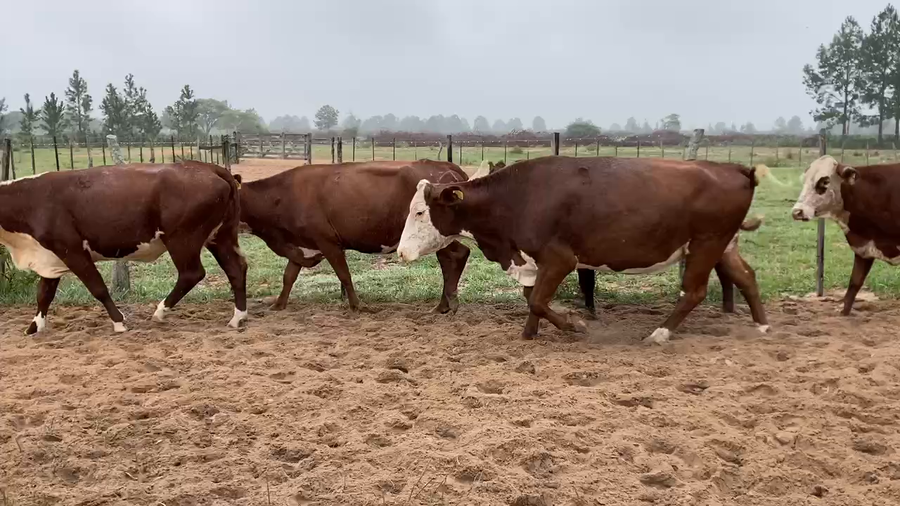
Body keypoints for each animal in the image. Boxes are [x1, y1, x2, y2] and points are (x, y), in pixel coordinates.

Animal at [0, 161, 247, 335]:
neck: (32, 199)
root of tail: (210, 167)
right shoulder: (51, 257)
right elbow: (44, 294)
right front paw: (33, 327)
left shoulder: (73, 251)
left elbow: (98, 288)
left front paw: (119, 322)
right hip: (220, 237)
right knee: (236, 268)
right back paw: (238, 317)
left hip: (182, 240)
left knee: (192, 274)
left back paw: (160, 312)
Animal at [238, 160, 470, 313]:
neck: (282, 196)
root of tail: (446, 166)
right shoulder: (302, 245)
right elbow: (289, 277)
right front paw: (278, 305)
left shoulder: (328, 242)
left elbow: (344, 275)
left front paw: (356, 305)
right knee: (450, 260)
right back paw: (443, 305)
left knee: (458, 255)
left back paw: (447, 304)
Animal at [397, 156, 770, 344]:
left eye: (420, 212)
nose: (401, 252)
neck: (516, 198)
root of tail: (735, 168)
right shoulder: (532, 261)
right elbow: (533, 298)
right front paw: (530, 333)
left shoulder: (561, 259)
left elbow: (537, 300)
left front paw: (574, 325)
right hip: (722, 245)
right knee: (746, 276)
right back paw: (762, 326)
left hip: (706, 244)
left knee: (694, 292)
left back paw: (660, 333)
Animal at [791, 155, 900, 315]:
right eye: (804, 181)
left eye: (825, 181)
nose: (797, 212)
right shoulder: (864, 248)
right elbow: (854, 283)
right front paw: (844, 312)